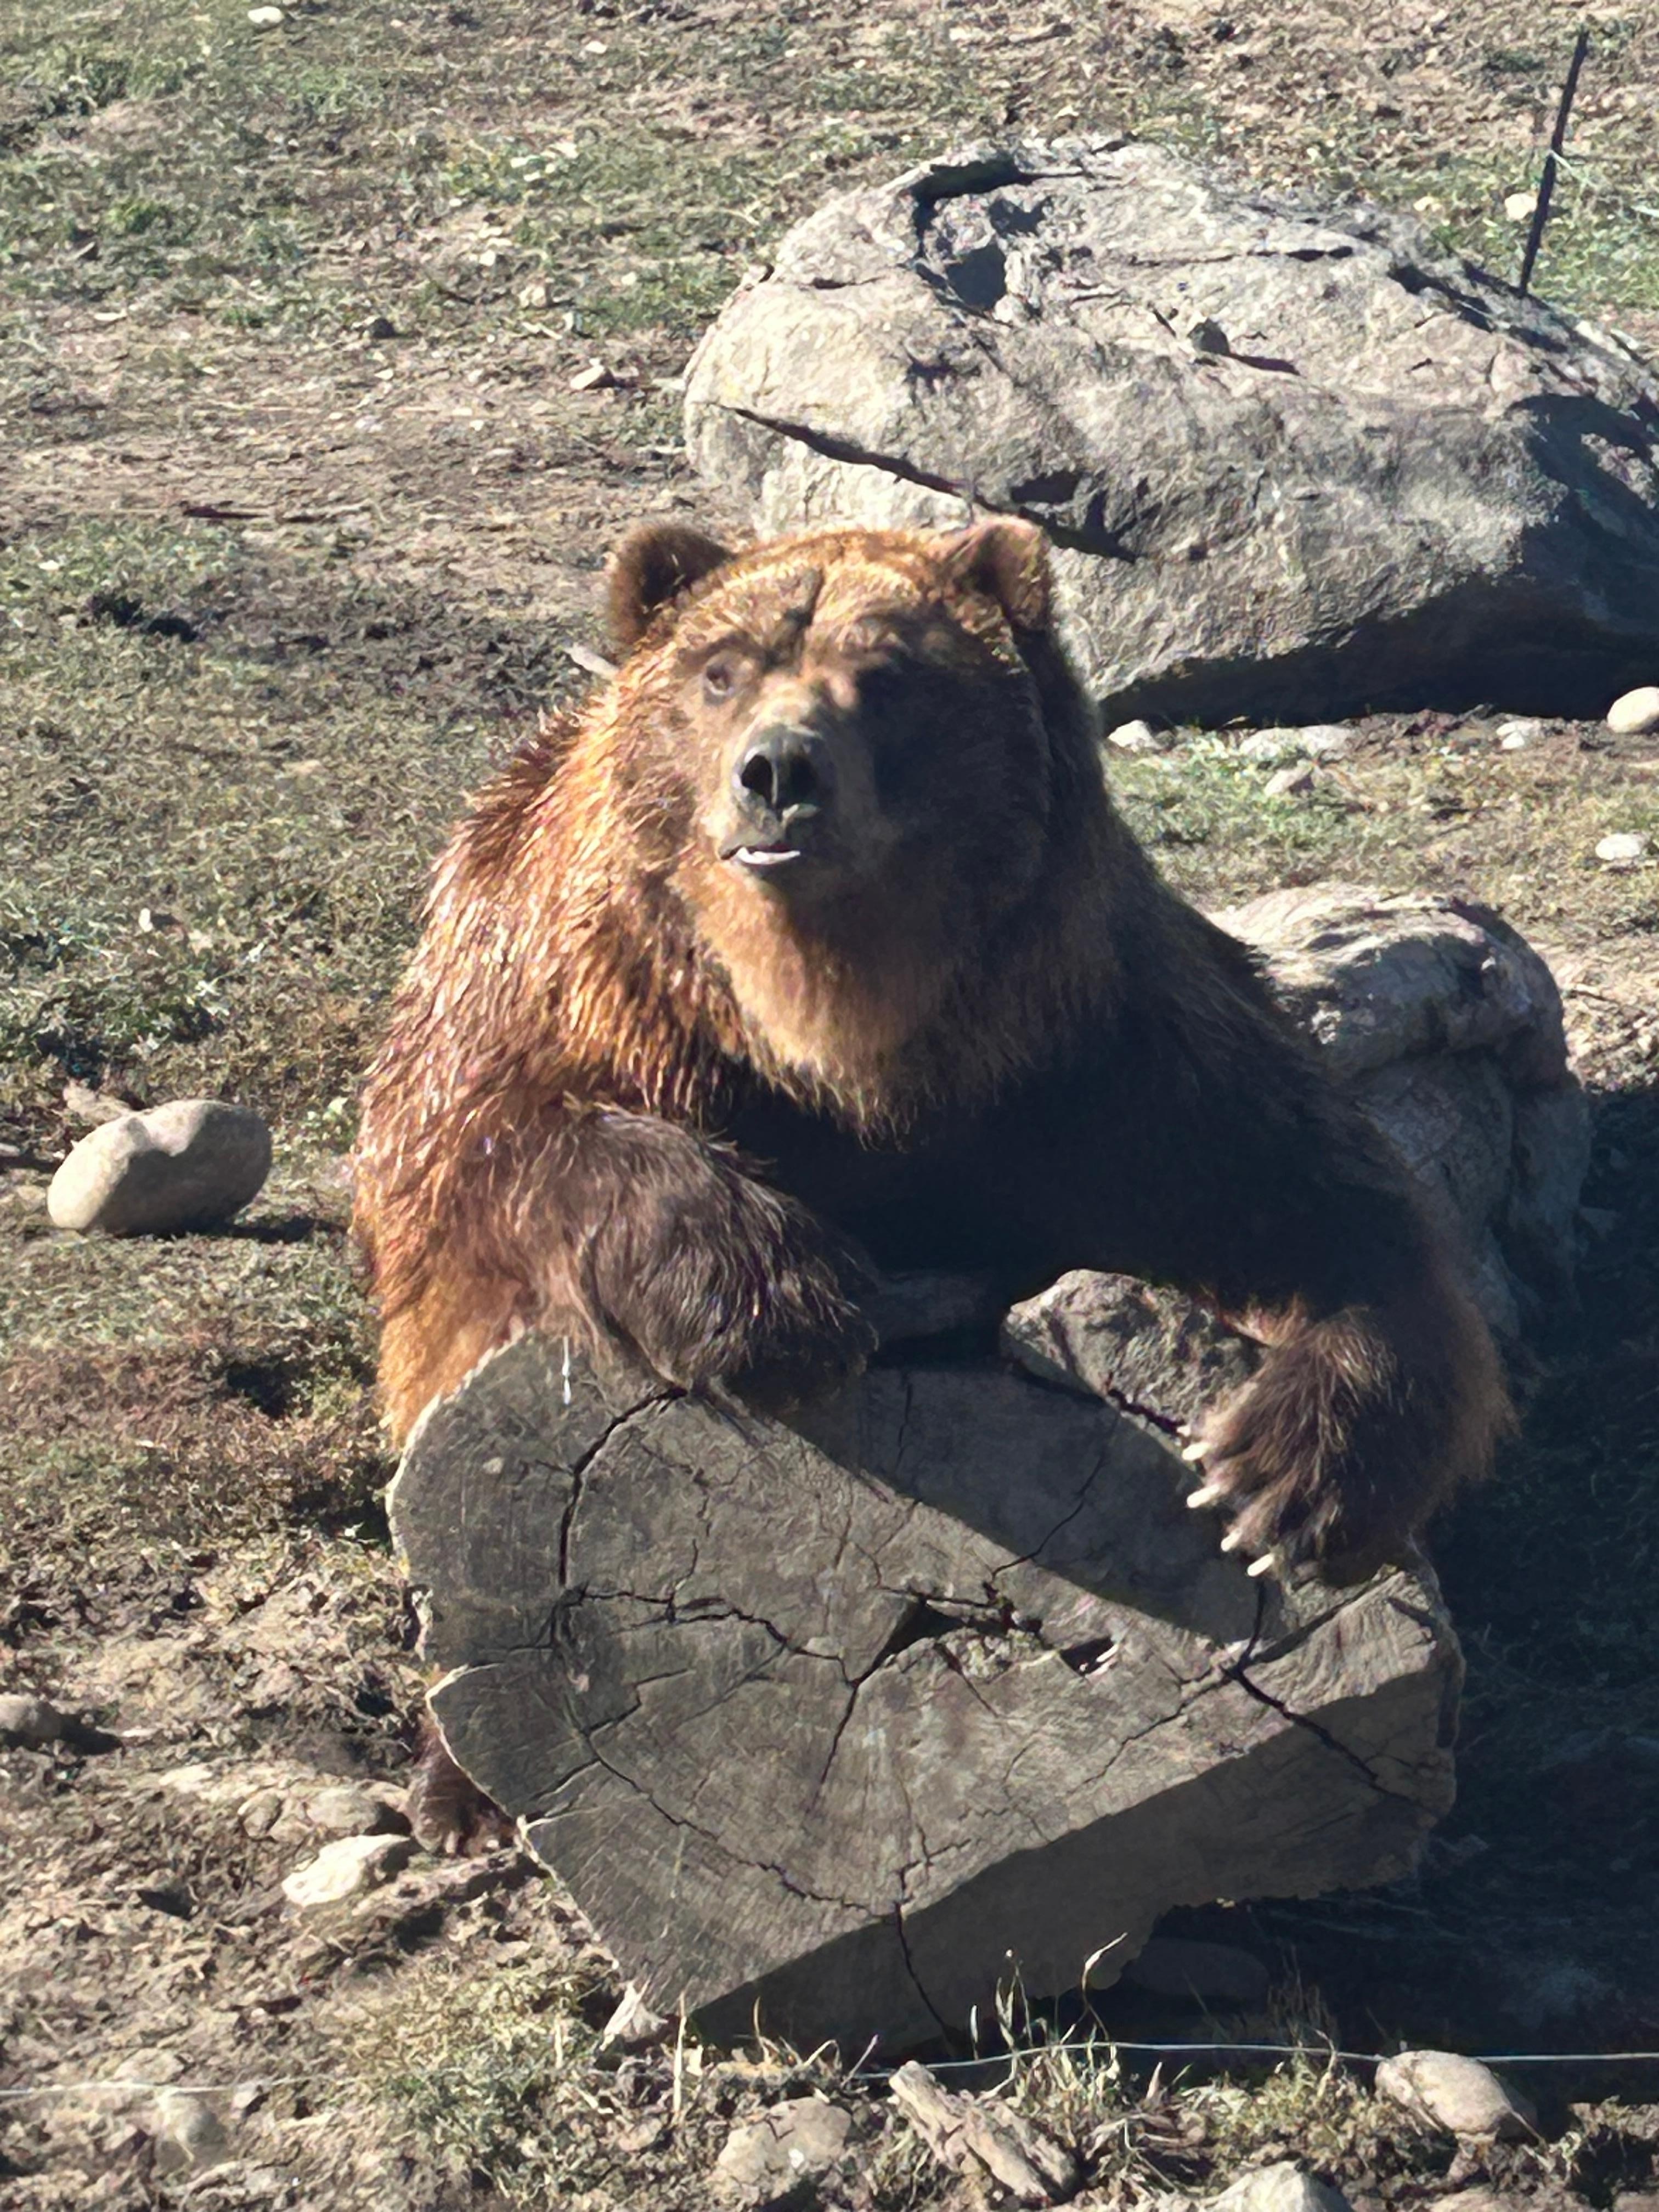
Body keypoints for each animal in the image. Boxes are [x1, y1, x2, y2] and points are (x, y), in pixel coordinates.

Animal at [354, 516, 1509, 1850]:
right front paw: (780, 1301)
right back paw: (460, 1791)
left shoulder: (1089, 1050)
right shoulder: (576, 992)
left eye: (886, 675)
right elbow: (494, 1146)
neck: (843, 1036)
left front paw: (1281, 1477)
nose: (778, 772)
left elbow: (1329, 1206)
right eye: (721, 670)